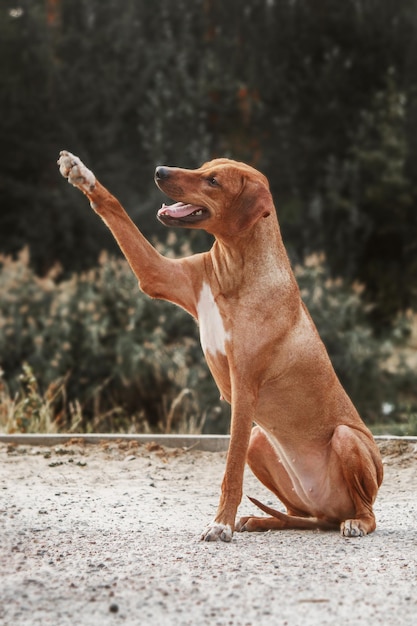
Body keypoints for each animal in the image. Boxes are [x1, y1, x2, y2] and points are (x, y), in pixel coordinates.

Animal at [57, 151, 382, 540]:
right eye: (201, 167)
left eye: (213, 181)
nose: (159, 171)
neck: (234, 268)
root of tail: (331, 513)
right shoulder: (159, 275)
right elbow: (115, 208)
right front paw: (82, 175)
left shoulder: (244, 392)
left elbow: (231, 470)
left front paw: (221, 523)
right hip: (262, 442)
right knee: (298, 514)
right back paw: (263, 521)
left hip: (346, 440)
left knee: (367, 512)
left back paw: (355, 523)